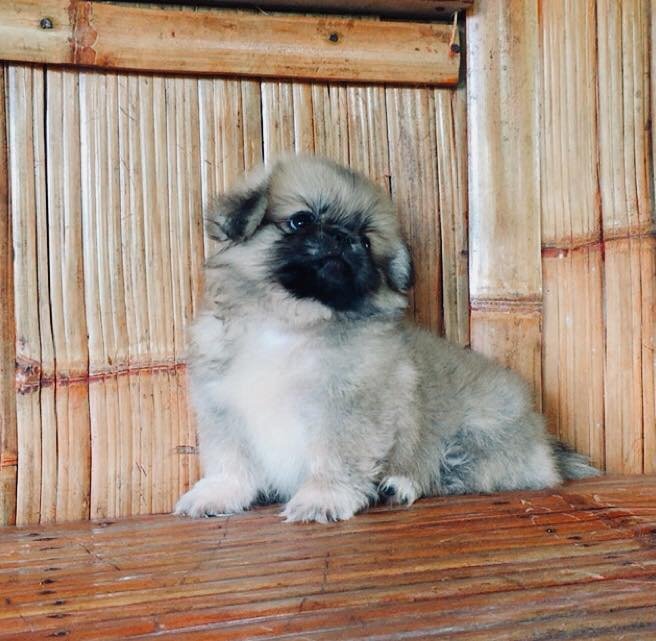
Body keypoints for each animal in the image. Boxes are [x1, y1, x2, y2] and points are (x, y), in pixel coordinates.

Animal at [176, 155, 600, 520]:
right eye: (301, 221)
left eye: (365, 242)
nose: (343, 238)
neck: (289, 325)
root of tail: (543, 440)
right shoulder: (224, 410)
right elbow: (231, 462)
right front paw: (219, 494)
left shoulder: (349, 411)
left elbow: (334, 460)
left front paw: (322, 499)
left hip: (469, 444)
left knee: (450, 476)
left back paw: (398, 486)